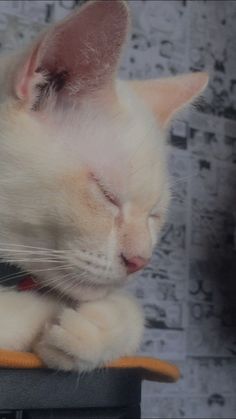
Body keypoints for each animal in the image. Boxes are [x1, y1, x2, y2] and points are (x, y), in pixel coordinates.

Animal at [0, 0, 207, 370]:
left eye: (154, 215)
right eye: (107, 194)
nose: (140, 261)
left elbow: (130, 309)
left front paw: (94, 327)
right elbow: (19, 311)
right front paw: (52, 312)